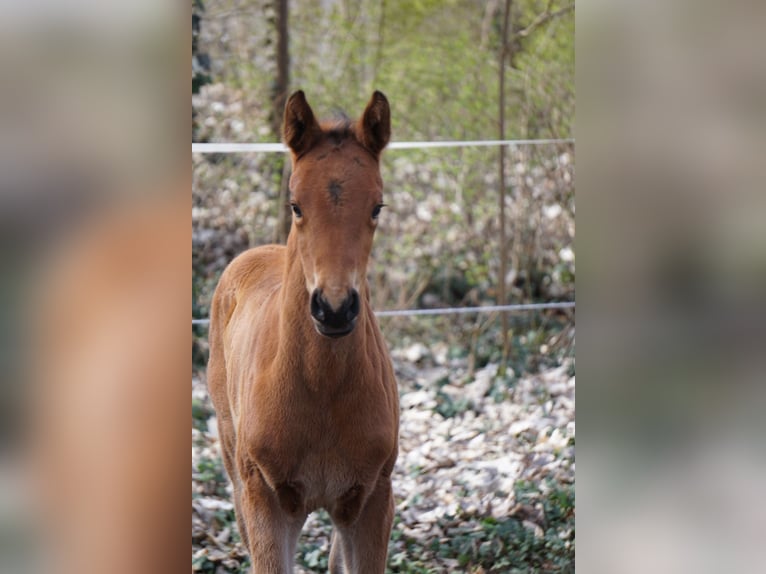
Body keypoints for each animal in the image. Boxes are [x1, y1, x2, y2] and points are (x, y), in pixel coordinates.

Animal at [207, 91, 400, 573]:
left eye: (377, 207)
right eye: (296, 205)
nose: (334, 310)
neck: (321, 390)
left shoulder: (372, 500)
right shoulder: (266, 500)